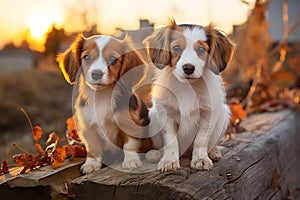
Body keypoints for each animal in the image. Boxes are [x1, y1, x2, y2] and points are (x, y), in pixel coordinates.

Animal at [56, 34, 150, 173]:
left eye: (113, 59)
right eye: (86, 57)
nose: (96, 74)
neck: (101, 96)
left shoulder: (128, 122)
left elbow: (129, 144)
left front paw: (131, 160)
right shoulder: (88, 126)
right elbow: (93, 146)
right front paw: (91, 164)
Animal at [144, 19, 236, 171]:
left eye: (201, 50)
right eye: (176, 48)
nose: (188, 68)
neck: (188, 86)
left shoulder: (208, 114)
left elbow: (201, 140)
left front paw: (200, 159)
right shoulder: (166, 114)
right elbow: (171, 141)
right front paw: (169, 160)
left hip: (224, 114)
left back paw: (214, 152)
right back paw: (155, 154)